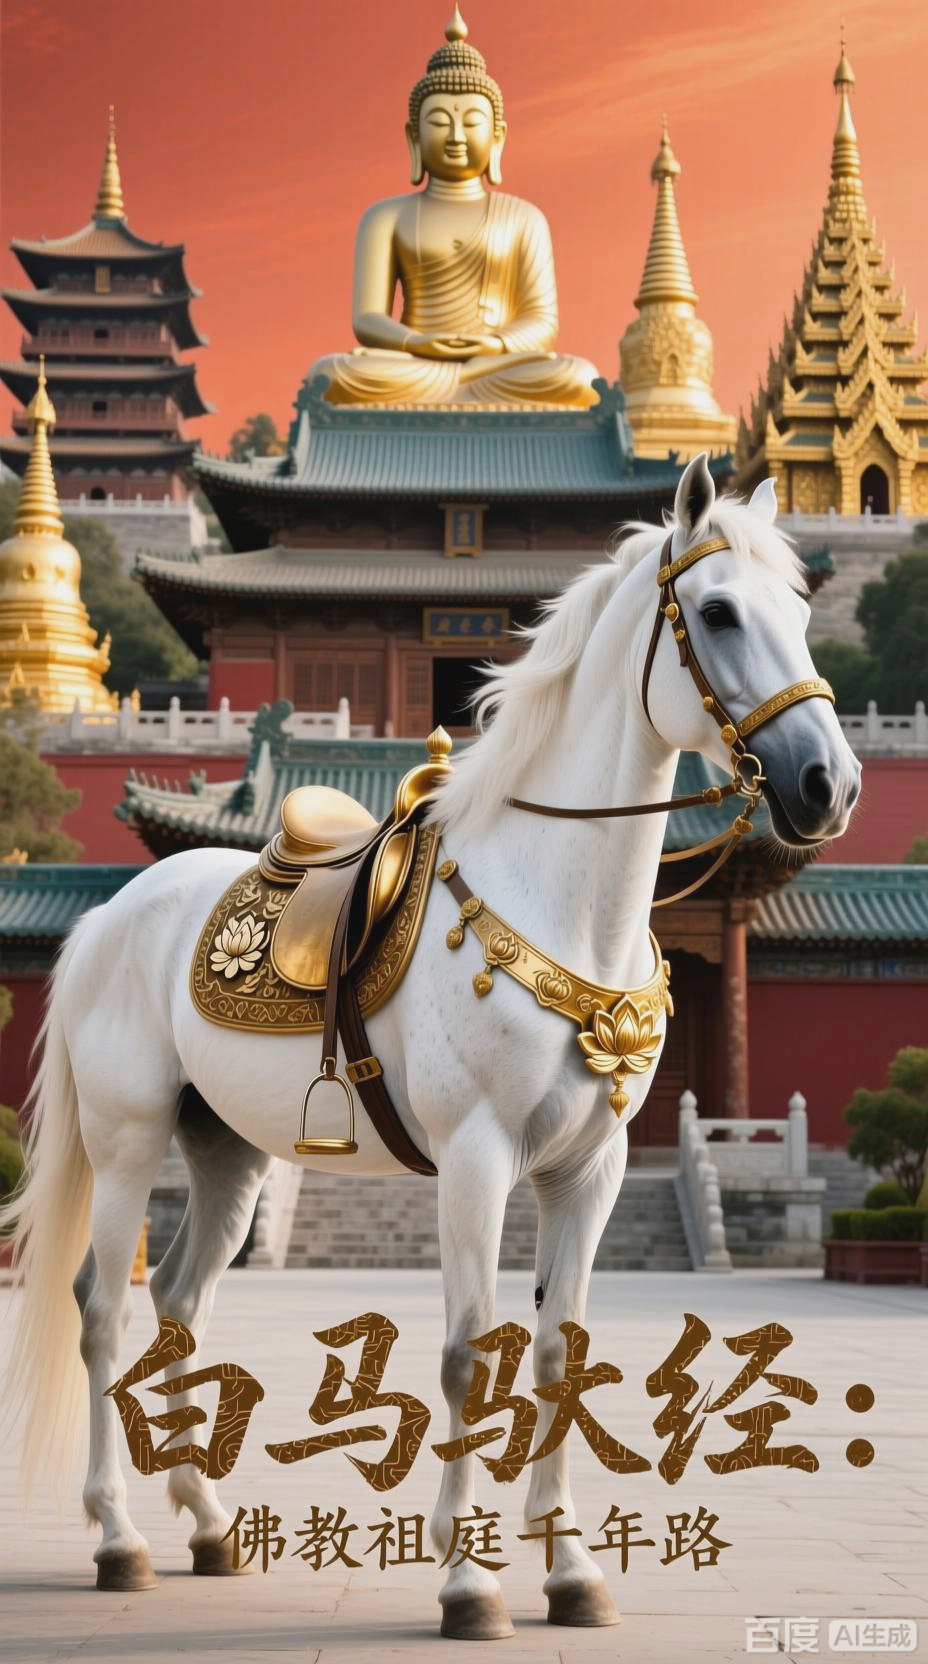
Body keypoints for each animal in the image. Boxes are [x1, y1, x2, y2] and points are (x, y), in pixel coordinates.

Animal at [1, 454, 860, 1640]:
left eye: (800, 609)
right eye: (722, 611)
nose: (829, 783)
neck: (555, 900)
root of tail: (109, 913)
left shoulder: (589, 1167)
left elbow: (557, 1352)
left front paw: (570, 1567)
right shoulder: (476, 1157)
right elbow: (464, 1352)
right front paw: (467, 1579)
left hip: (224, 1147)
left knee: (179, 1303)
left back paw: (210, 1525)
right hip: (127, 1138)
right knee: (101, 1307)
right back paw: (119, 1536)